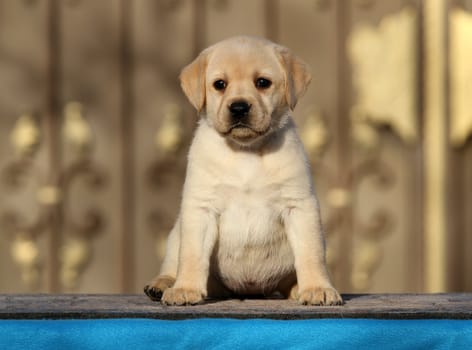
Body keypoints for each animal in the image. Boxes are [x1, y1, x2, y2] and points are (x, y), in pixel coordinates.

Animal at [146, 34, 342, 304]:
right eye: (219, 84)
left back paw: (296, 288)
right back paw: (163, 284)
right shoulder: (200, 208)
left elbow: (311, 254)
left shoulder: (299, 205)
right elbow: (192, 256)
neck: (246, 152)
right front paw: (185, 289)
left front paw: (316, 288)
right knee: (172, 263)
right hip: (175, 234)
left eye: (262, 82)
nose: (239, 108)